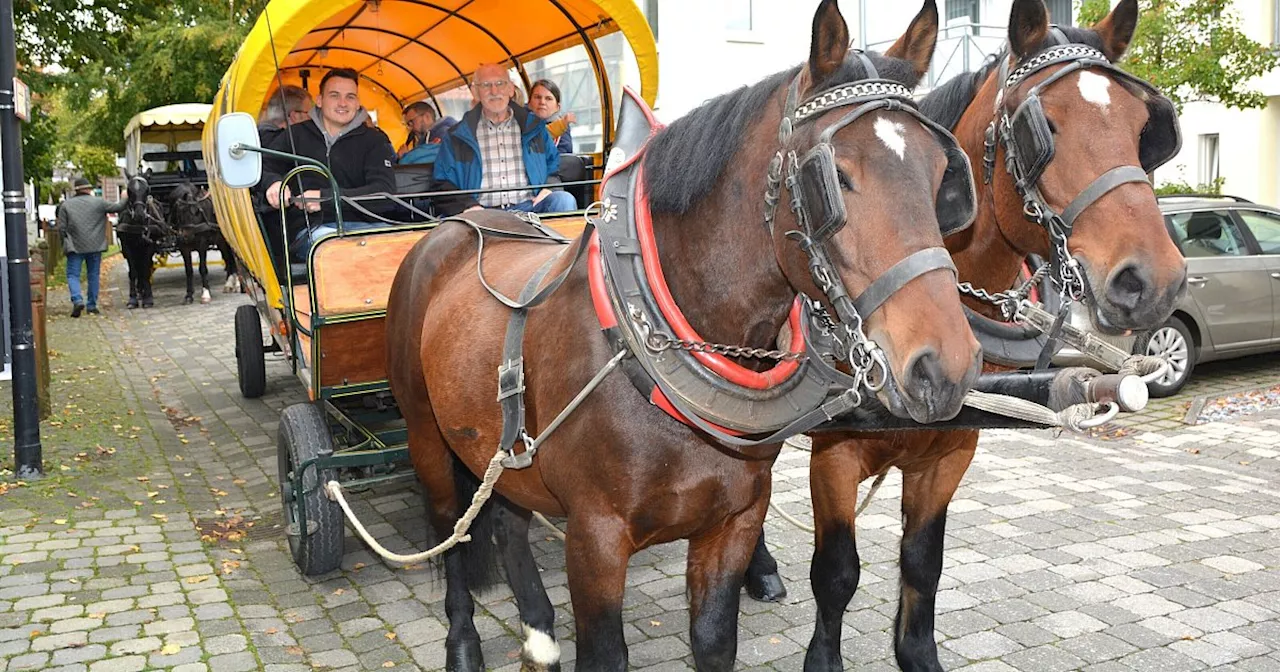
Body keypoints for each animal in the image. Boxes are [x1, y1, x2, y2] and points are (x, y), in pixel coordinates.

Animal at [117, 174, 167, 308]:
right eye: (129, 190)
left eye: (147, 189)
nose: (139, 214)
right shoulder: (127, 247)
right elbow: (133, 272)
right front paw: (133, 299)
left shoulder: (149, 247)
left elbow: (145, 271)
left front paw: (148, 298)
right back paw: (140, 291)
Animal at [381, 1, 977, 670]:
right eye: (836, 178)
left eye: (941, 174)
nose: (945, 366)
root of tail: (459, 222)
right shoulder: (595, 539)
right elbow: (604, 651)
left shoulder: (733, 522)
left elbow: (715, 642)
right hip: (427, 436)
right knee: (451, 536)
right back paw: (463, 642)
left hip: (502, 445)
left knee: (509, 512)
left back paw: (537, 628)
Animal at [742, 1, 1187, 670]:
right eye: (1044, 128)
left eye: (1142, 129)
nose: (1155, 280)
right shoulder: (835, 451)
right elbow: (837, 572)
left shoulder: (953, 447)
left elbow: (924, 563)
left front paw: (918, 653)